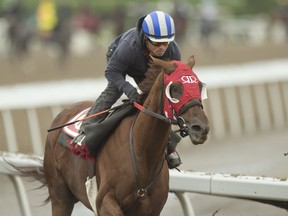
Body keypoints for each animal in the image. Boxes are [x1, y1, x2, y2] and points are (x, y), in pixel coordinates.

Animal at [15, 55, 209, 214]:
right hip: (60, 196)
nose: (201, 128)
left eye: (199, 85)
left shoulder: (151, 209)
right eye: (175, 87)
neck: (142, 151)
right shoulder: (104, 202)